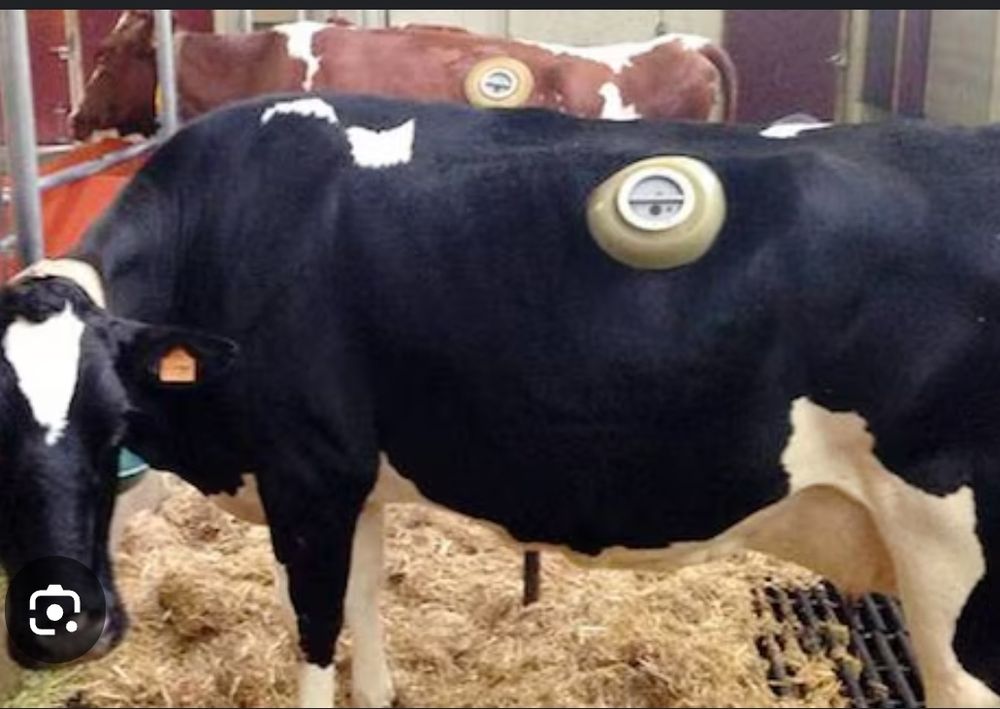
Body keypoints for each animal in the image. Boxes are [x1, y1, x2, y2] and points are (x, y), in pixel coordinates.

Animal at [2, 91, 1000, 709]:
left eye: (116, 424)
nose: (66, 626)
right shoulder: (351, 478)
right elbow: (366, 607)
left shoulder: (306, 474)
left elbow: (318, 631)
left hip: (955, 565)